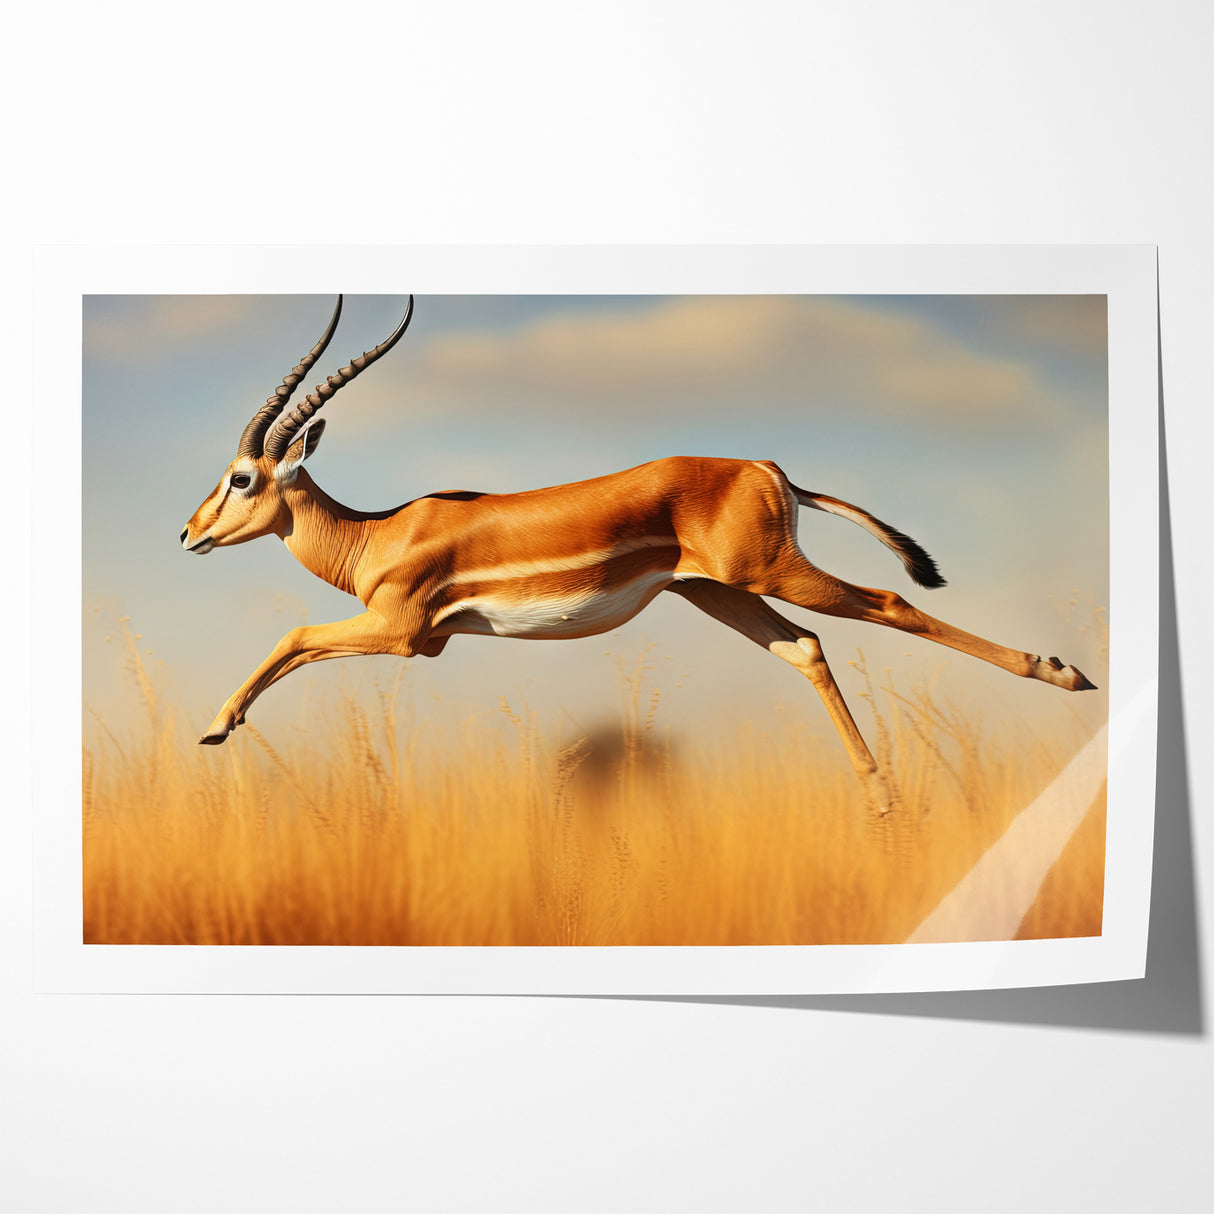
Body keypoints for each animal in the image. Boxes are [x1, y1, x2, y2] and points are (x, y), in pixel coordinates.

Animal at [181, 296, 1096, 810]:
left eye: (240, 476)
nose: (189, 533)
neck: (376, 532)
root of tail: (767, 468)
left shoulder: (405, 634)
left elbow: (294, 637)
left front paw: (215, 727)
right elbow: (299, 646)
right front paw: (221, 726)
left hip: (769, 574)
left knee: (892, 604)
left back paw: (1063, 673)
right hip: (717, 593)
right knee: (806, 648)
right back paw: (881, 798)